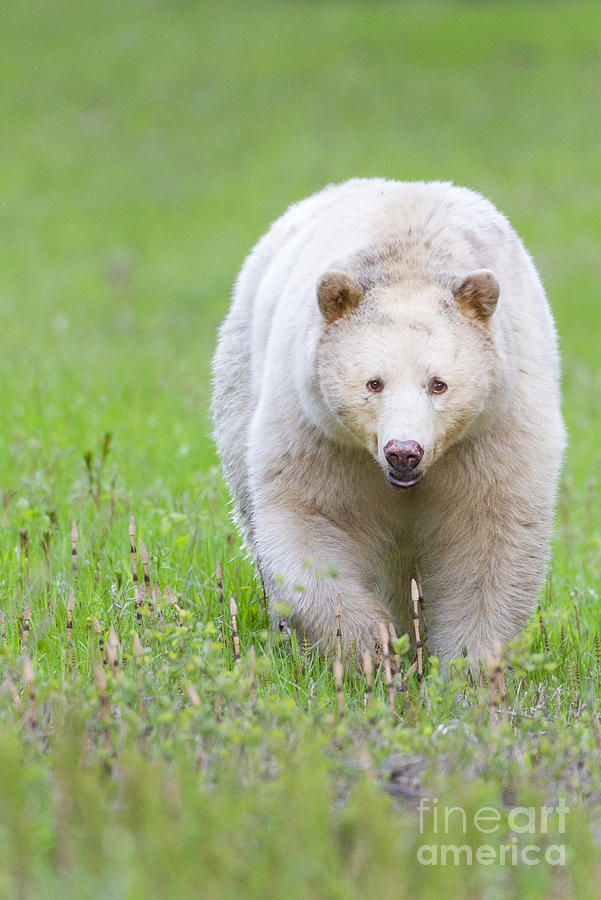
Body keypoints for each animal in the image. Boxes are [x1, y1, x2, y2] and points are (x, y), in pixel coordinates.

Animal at [213, 179, 564, 664]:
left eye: (438, 384)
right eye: (373, 382)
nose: (403, 452)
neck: (409, 264)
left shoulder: (495, 425)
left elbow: (489, 533)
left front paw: (467, 663)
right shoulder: (318, 432)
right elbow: (312, 520)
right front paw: (371, 645)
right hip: (241, 375)